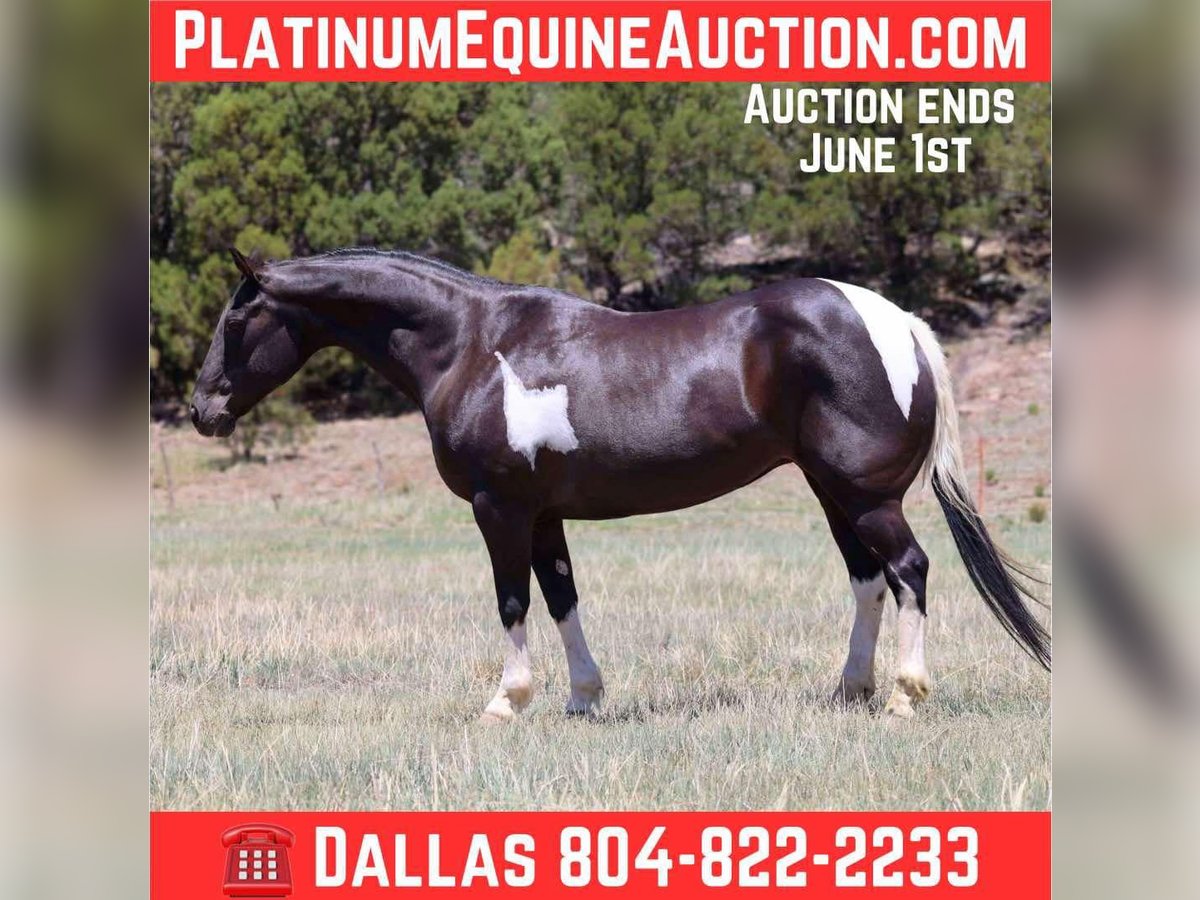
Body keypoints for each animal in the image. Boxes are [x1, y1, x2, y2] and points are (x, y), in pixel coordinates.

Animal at [189, 247, 1049, 721]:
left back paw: (903, 695)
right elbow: (562, 597)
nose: (202, 409)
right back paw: (850, 691)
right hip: (833, 492)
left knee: (909, 571)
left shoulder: (500, 509)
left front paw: (507, 701)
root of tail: (896, 322)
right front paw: (582, 697)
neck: (471, 344)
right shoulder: (542, 515)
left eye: (236, 321)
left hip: (867, 497)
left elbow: (512, 602)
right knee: (870, 581)